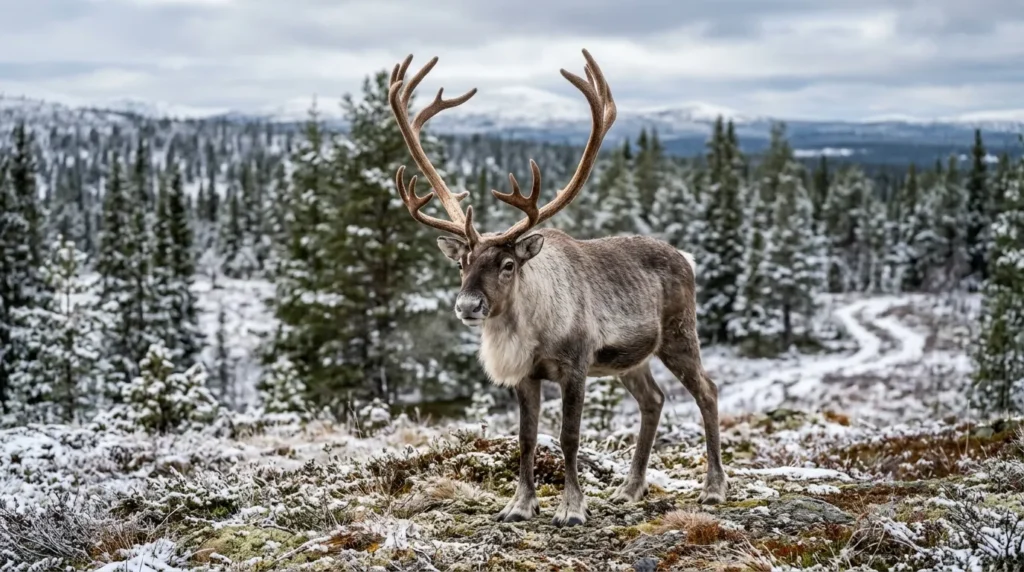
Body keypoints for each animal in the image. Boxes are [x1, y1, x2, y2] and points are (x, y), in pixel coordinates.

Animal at [386, 49, 727, 527]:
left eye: (508, 264)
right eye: (461, 263)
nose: (468, 305)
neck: (531, 331)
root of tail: (687, 257)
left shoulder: (576, 365)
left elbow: (569, 437)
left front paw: (571, 508)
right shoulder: (526, 377)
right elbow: (526, 439)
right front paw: (520, 504)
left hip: (679, 334)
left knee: (707, 391)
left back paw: (713, 488)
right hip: (631, 360)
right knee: (654, 400)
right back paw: (630, 489)